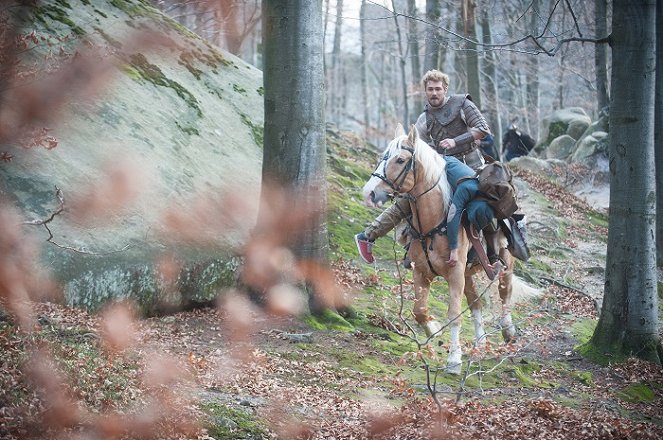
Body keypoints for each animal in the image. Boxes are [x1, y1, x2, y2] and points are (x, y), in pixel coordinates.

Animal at [366, 124, 516, 374]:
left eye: (400, 160)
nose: (369, 193)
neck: (435, 221)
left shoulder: (454, 274)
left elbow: (454, 314)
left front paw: (454, 360)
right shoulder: (422, 272)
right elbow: (419, 311)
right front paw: (434, 330)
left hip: (505, 263)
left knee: (505, 293)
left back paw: (508, 330)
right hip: (468, 273)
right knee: (476, 303)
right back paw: (480, 343)